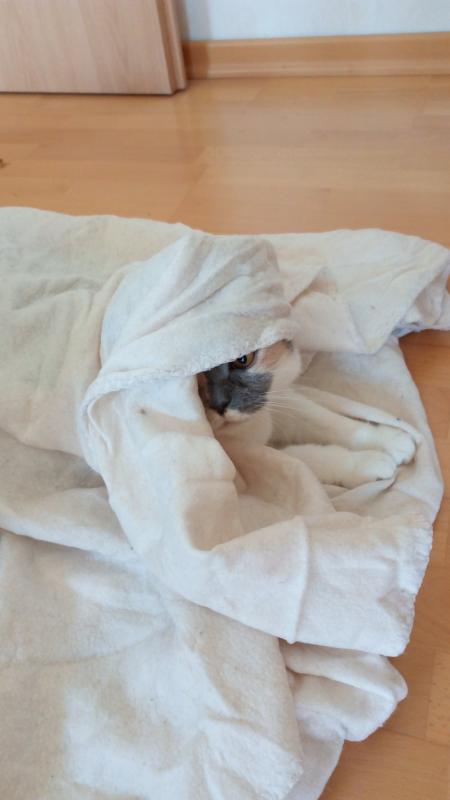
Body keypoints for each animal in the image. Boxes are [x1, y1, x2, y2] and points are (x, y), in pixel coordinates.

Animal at [198, 341, 415, 489]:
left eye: (243, 359)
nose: (220, 403)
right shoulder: (247, 456)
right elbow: (313, 457)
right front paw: (366, 463)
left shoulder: (278, 401)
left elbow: (330, 422)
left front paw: (390, 439)